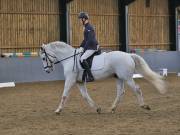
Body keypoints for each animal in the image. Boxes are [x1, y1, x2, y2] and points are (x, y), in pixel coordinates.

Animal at [39, 41, 167, 114]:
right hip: (119, 78)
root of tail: (128, 55)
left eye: (44, 58)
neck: (69, 58)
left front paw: (58, 110)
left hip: (127, 77)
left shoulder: (70, 80)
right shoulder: (79, 82)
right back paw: (112, 108)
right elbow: (85, 96)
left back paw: (144, 106)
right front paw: (97, 108)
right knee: (120, 92)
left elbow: (64, 94)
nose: (47, 70)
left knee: (137, 89)